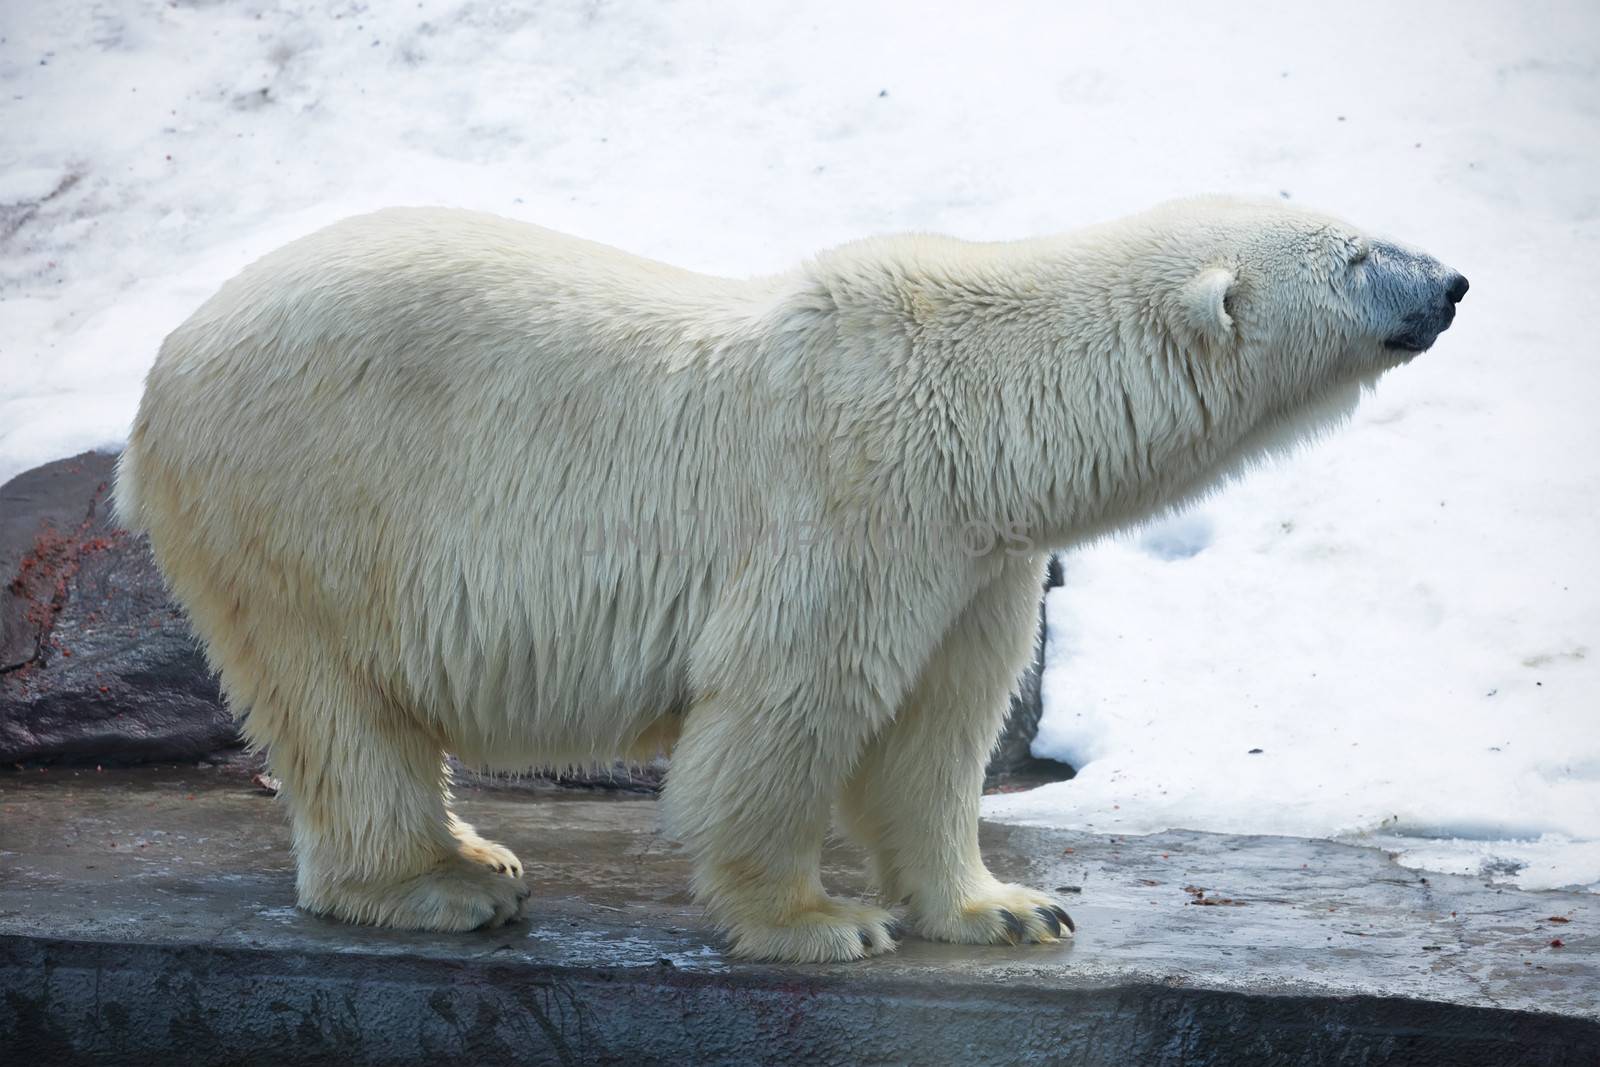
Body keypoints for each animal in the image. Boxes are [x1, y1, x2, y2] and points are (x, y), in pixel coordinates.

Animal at [116, 195, 1465, 966]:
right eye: (1356, 254)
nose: (1452, 281)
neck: (986, 408)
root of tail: (164, 368)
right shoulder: (856, 502)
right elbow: (788, 705)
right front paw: (816, 922)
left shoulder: (976, 555)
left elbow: (938, 731)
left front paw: (1006, 907)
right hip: (306, 500)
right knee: (339, 704)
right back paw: (443, 883)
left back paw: (471, 859)